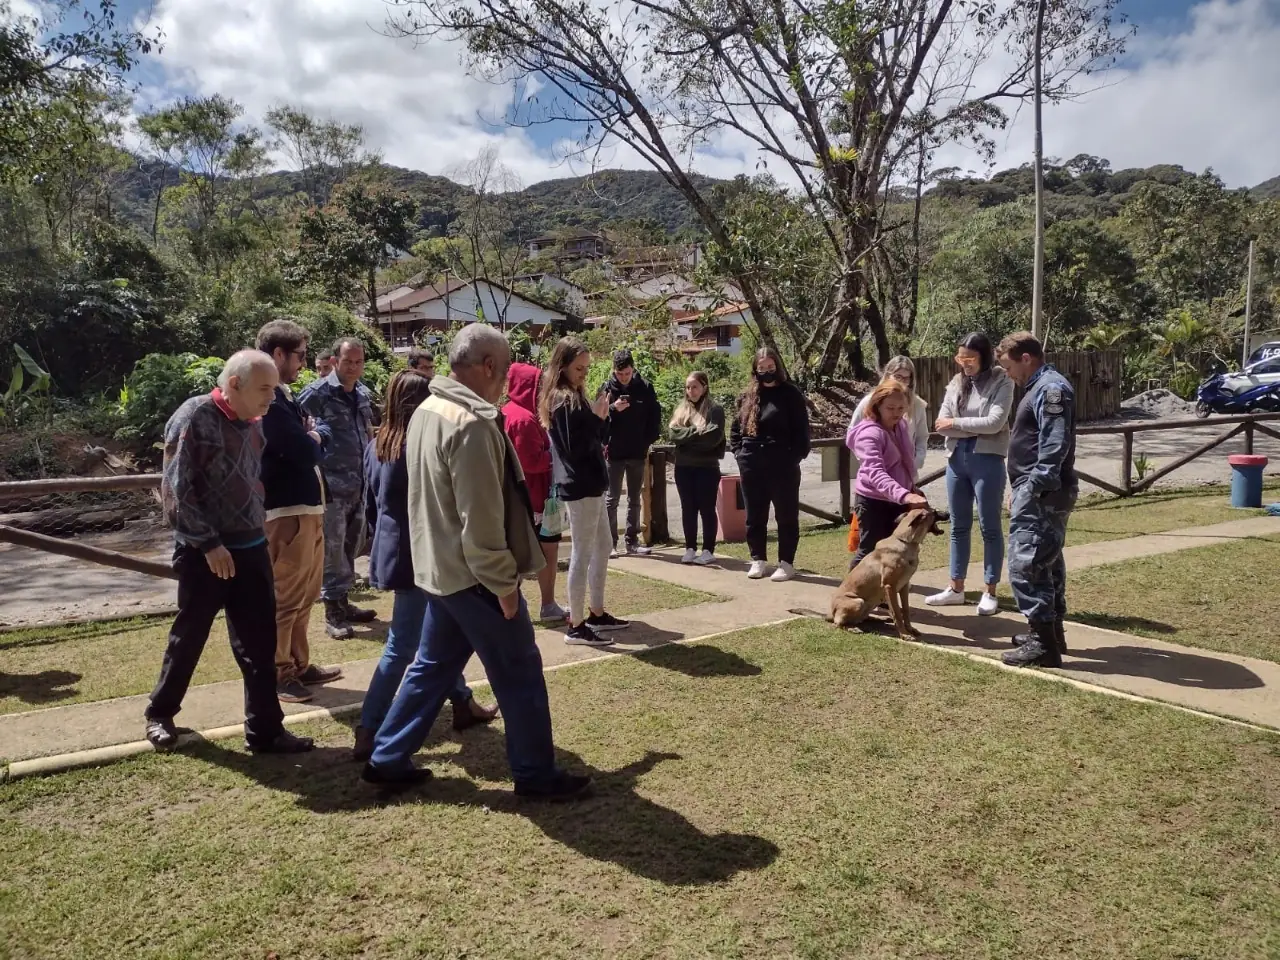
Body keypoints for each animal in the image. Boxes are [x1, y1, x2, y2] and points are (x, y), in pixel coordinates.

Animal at [834, 506, 947, 642]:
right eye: (934, 512)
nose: (948, 513)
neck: (905, 542)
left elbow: (906, 610)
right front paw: (904, 634)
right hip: (858, 601)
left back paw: (879, 618)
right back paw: (852, 628)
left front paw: (910, 629)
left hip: (869, 604)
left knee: (864, 617)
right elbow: (897, 612)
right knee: (839, 622)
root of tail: (830, 612)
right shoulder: (890, 587)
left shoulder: (904, 586)